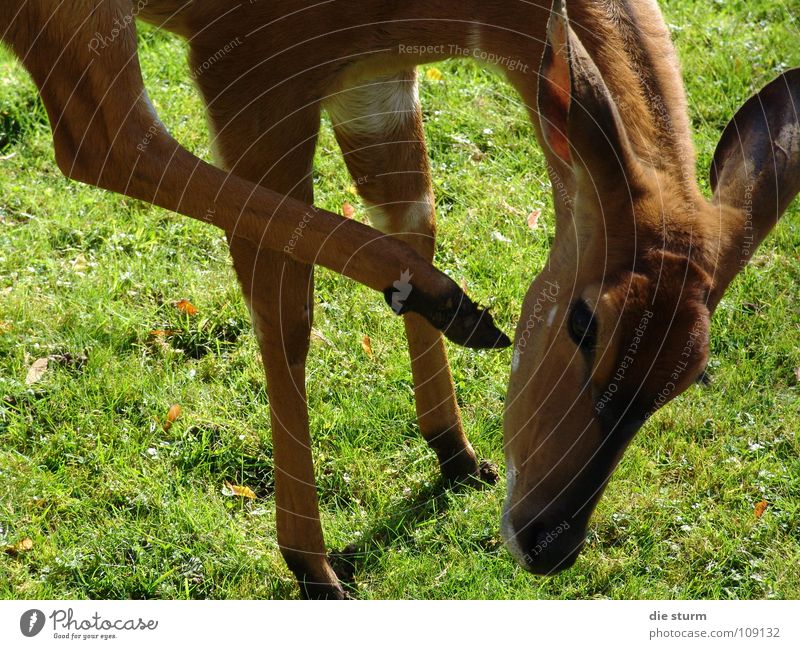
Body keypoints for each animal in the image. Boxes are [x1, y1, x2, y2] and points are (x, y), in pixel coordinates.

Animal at [1, 0, 800, 596]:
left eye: (692, 374)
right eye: (584, 321)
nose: (547, 543)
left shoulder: (375, 78)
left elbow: (412, 212)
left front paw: (456, 450)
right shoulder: (248, 66)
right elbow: (281, 301)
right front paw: (312, 566)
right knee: (102, 137)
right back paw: (451, 307)